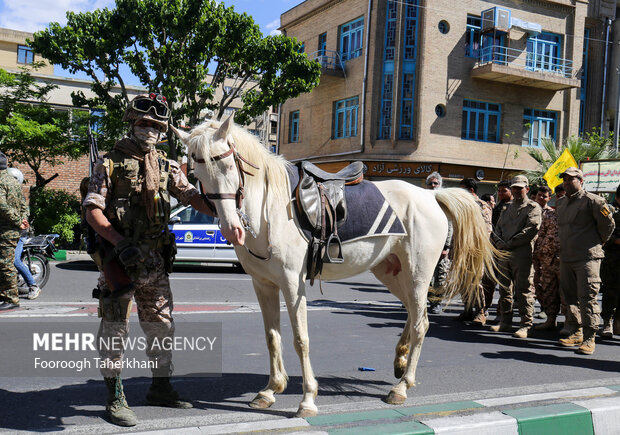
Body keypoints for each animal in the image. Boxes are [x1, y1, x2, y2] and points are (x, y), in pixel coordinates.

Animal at [172, 117, 502, 418]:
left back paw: (402, 386)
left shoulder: (292, 283)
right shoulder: (263, 284)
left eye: (228, 166)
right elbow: (272, 337)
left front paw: (307, 399)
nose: (231, 229)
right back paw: (400, 360)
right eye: (197, 173)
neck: (270, 210)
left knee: (422, 323)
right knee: (413, 312)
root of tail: (431, 195)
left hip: (419, 273)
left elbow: (300, 339)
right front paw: (270, 390)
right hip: (392, 272)